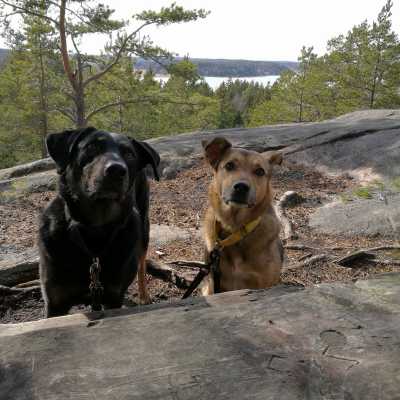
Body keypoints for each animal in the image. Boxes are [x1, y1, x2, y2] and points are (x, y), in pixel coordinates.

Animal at [38, 126, 159, 318]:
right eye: (92, 147)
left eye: (129, 154)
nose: (116, 170)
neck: (95, 229)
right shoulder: (55, 303)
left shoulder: (113, 297)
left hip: (144, 225)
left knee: (141, 262)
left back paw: (143, 295)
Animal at [202, 138, 282, 294]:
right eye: (229, 165)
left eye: (259, 171)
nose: (241, 187)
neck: (234, 228)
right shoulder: (214, 280)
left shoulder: (264, 284)